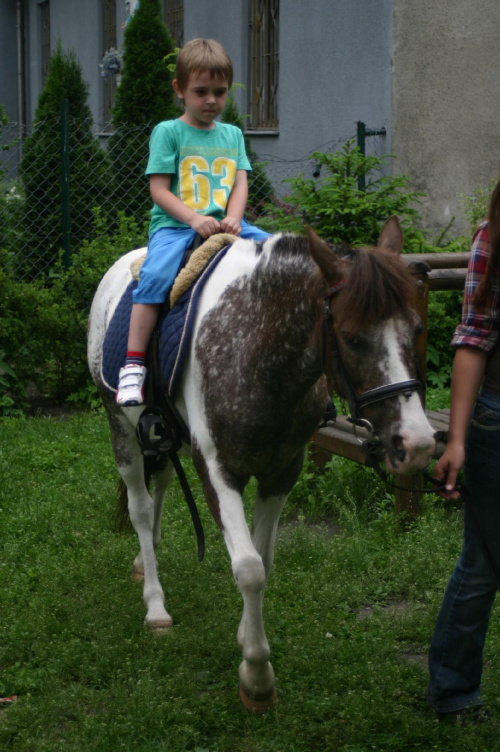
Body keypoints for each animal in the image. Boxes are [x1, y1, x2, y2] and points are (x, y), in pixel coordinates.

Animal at [88, 219, 436, 712]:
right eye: (351, 337)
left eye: (417, 327)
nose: (418, 442)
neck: (254, 347)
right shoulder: (217, 472)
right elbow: (249, 569)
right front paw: (256, 677)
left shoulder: (282, 470)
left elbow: (264, 560)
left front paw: (244, 638)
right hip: (120, 426)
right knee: (138, 507)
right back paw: (155, 605)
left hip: (161, 435)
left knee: (160, 484)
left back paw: (146, 554)